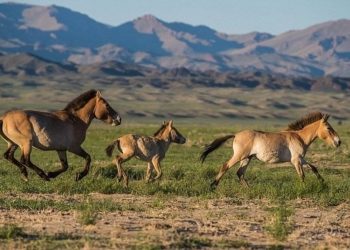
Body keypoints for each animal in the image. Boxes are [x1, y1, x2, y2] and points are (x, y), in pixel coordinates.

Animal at [201, 112, 340, 188]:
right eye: (328, 128)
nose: (338, 142)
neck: (299, 137)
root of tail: (235, 135)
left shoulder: (301, 159)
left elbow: (313, 168)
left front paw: (323, 183)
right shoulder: (296, 160)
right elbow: (302, 175)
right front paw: (304, 188)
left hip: (247, 158)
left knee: (240, 173)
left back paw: (250, 189)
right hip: (240, 156)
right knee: (225, 166)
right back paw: (213, 186)